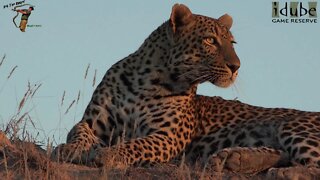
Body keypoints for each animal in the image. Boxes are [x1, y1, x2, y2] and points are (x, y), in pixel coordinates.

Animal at [51, 3, 318, 174]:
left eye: (232, 43)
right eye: (210, 40)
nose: (236, 66)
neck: (146, 82)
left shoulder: (168, 136)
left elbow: (137, 145)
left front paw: (111, 155)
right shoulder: (93, 123)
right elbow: (79, 132)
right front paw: (69, 148)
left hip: (292, 125)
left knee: (312, 165)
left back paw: (282, 172)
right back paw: (235, 159)